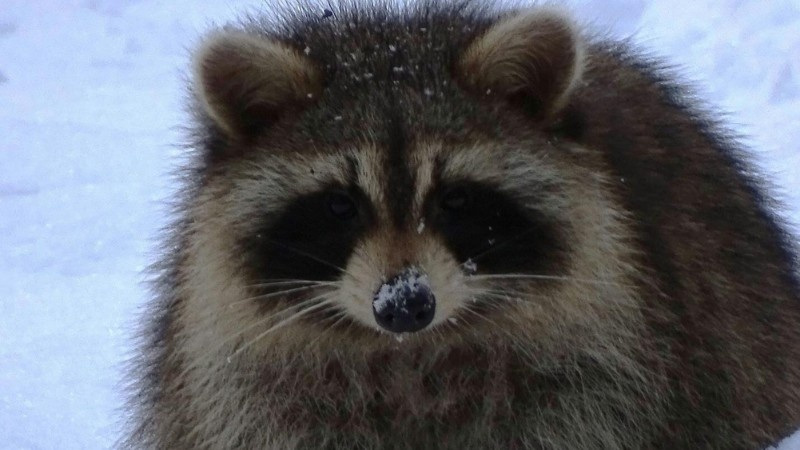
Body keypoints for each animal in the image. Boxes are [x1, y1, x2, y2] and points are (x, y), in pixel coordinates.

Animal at [122, 1, 800, 448]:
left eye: (455, 200)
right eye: (341, 205)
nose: (404, 303)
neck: (408, 357)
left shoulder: (608, 380)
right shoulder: (244, 392)